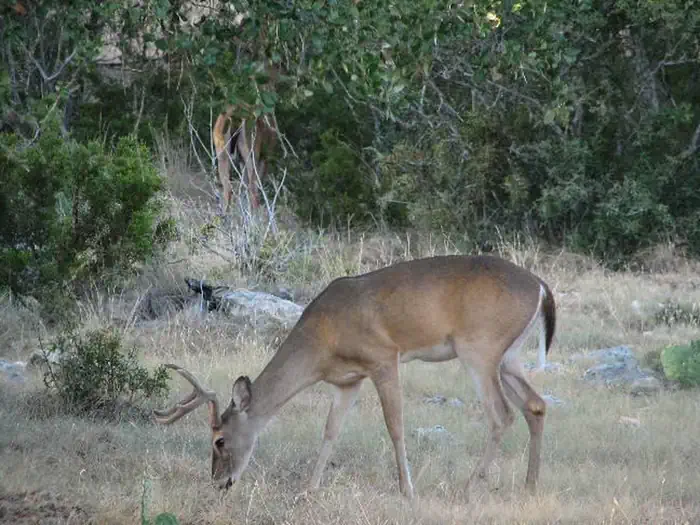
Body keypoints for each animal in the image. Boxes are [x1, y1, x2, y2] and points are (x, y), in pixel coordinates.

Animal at [153, 254, 556, 499]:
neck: (323, 339)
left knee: (501, 414)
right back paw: (531, 485)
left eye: (219, 440)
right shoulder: (347, 380)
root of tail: (541, 287)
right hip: (508, 356)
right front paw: (309, 488)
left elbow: (395, 426)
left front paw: (407, 489)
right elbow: (331, 430)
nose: (219, 482)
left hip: (479, 349)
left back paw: (469, 486)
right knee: (535, 405)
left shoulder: (384, 357)